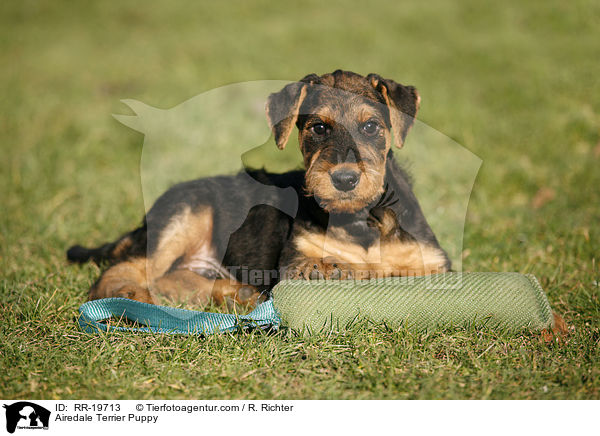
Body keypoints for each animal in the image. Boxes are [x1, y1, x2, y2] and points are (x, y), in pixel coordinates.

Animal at [67, 70, 450, 306]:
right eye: (318, 127)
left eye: (371, 126)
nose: (344, 180)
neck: (359, 219)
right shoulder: (293, 257)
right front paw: (330, 269)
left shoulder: (434, 263)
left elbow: (400, 270)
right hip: (183, 216)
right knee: (122, 272)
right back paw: (135, 298)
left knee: (174, 279)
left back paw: (240, 294)